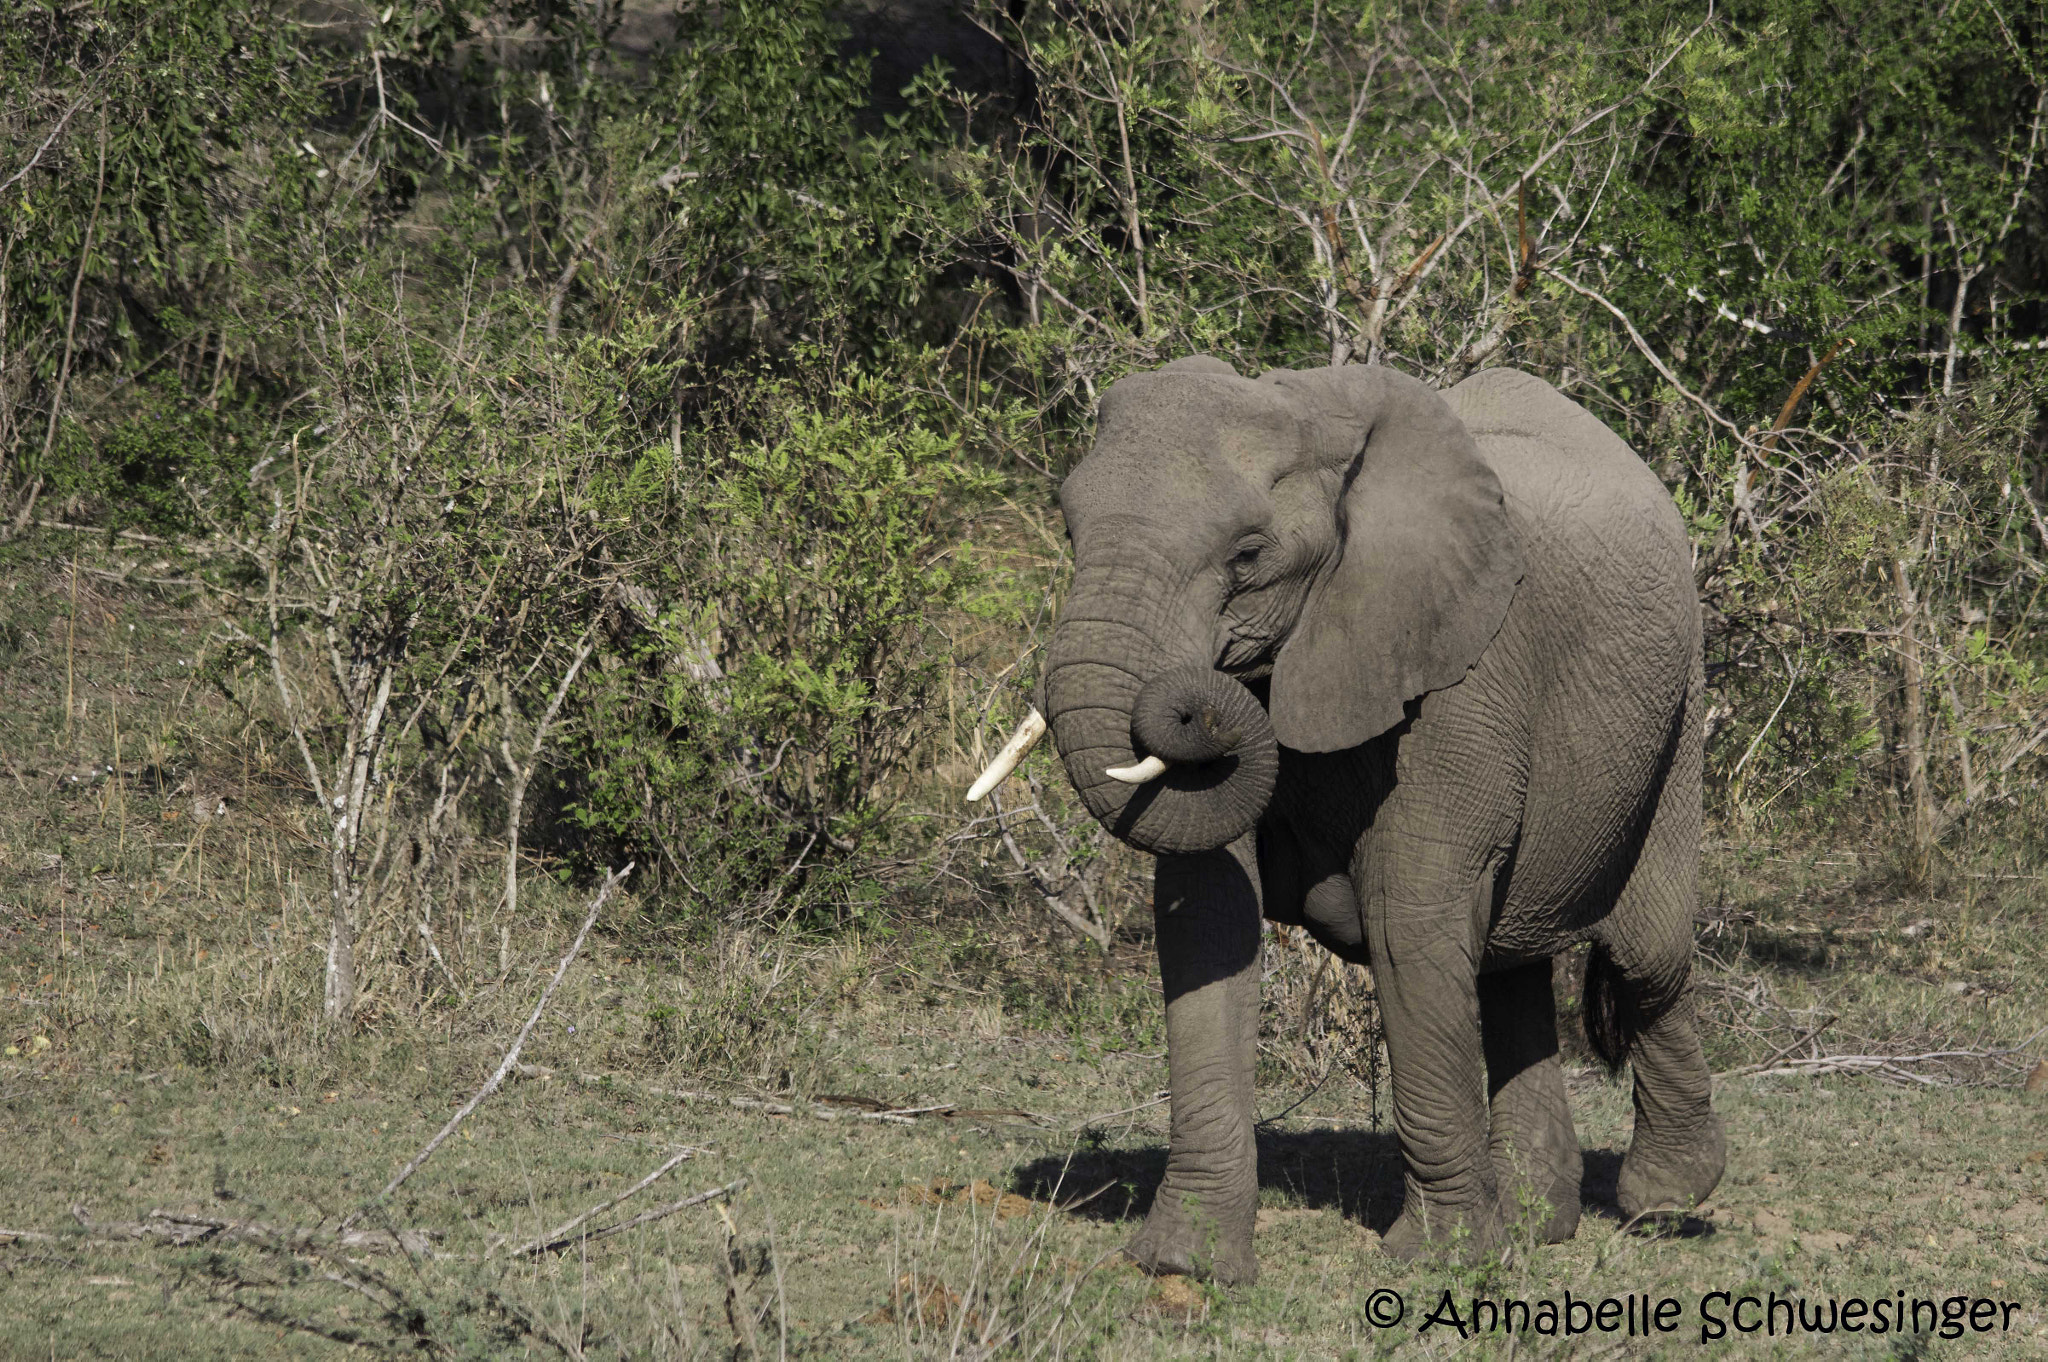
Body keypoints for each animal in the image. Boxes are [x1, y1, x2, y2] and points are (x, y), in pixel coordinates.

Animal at [970, 356, 1728, 1278]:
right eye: (1070, 530)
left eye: (1248, 556)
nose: (1189, 703)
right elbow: (1208, 920)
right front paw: (1186, 1263)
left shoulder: (1459, 672)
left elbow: (1408, 916)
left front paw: (1437, 1260)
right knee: (1511, 966)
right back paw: (1534, 1227)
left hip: (1678, 704)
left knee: (1643, 951)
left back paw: (1664, 1197)